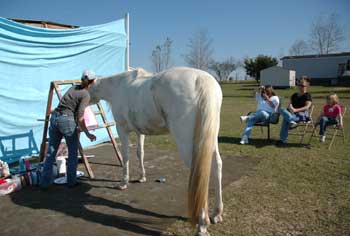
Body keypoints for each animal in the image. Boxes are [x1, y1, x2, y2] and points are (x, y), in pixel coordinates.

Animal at [89, 67, 223, 235]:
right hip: (210, 138)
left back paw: (202, 224)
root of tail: (201, 80)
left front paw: (123, 183)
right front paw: (142, 177)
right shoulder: (139, 132)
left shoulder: (122, 129)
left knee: (200, 173)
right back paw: (217, 213)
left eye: (81, 85)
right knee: (216, 165)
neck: (118, 86)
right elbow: (140, 153)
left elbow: (125, 156)